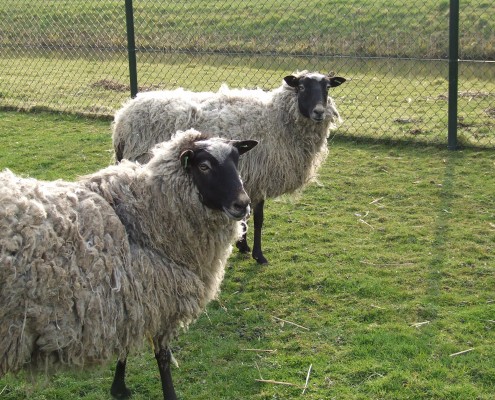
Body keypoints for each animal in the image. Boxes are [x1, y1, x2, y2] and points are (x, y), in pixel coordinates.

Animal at [0, 129, 260, 400]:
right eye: (204, 166)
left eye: (236, 161)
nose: (243, 204)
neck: (147, 215)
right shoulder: (156, 298)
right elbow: (162, 357)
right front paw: (167, 394)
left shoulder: (130, 299)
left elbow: (125, 345)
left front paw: (118, 387)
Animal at [112, 71, 346, 266]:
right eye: (302, 87)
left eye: (327, 87)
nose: (319, 112)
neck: (276, 119)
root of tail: (123, 117)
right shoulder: (258, 177)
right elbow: (258, 218)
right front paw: (258, 255)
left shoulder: (248, 181)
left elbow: (246, 216)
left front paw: (243, 245)